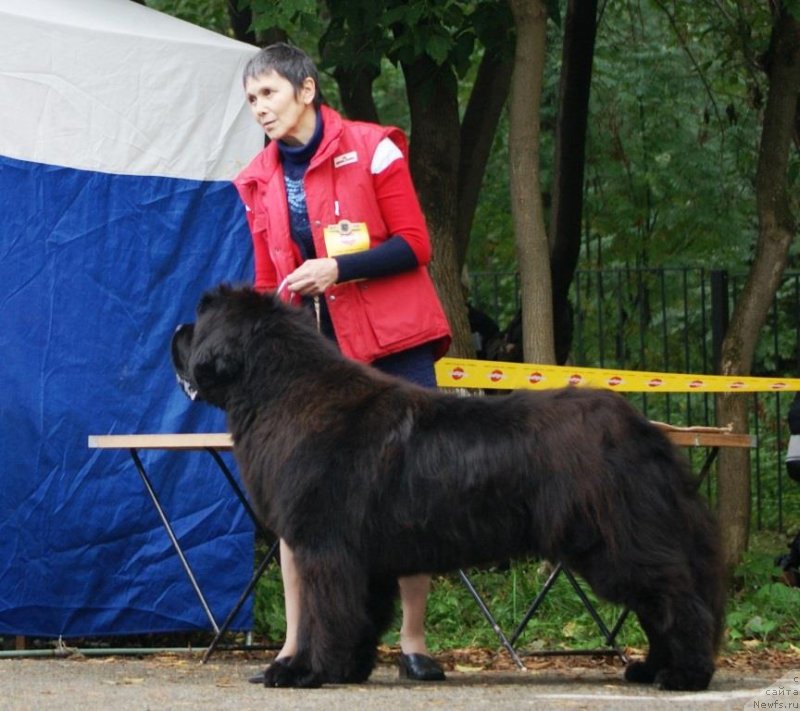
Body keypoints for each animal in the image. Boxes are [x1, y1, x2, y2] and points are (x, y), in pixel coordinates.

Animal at [173, 284, 724, 688]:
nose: (176, 329)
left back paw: (684, 674)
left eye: (199, 319)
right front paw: (347, 669)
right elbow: (360, 614)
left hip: (615, 540)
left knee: (674, 597)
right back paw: (651, 668)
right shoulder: (364, 558)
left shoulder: (323, 545)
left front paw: (302, 670)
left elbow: (321, 612)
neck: (279, 391)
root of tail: (642, 428)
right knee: (658, 603)